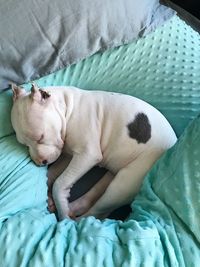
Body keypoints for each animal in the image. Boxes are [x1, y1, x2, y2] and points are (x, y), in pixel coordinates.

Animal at [10, 85, 177, 221]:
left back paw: (74, 220)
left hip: (123, 185)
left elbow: (59, 183)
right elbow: (51, 174)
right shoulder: (67, 155)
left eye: (40, 137)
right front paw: (50, 195)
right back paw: (73, 207)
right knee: (94, 200)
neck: (66, 107)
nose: (40, 163)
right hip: (113, 177)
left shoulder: (87, 155)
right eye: (25, 144)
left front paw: (62, 211)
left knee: (98, 212)